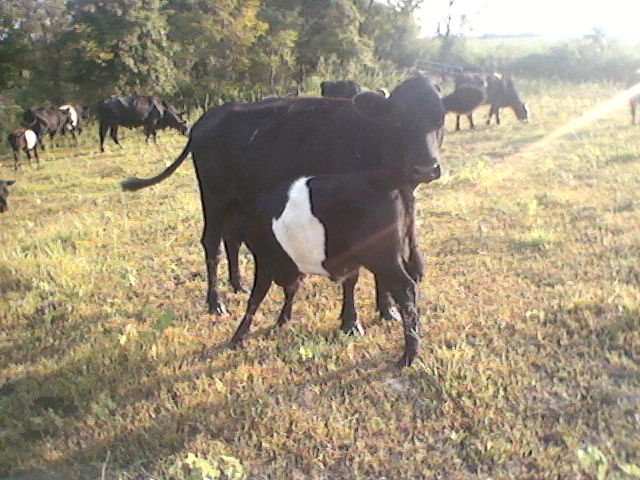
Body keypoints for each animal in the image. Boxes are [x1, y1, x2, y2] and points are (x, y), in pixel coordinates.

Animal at [122, 74, 448, 316]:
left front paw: (386, 310)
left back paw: (238, 284)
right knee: (211, 243)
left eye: (440, 119)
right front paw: (353, 321)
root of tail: (210, 117)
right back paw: (216, 303)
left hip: (237, 200)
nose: (424, 167)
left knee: (231, 238)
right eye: (398, 120)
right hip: (213, 196)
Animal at [230, 170, 424, 368]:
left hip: (382, 257)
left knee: (406, 290)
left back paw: (407, 356)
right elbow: (291, 290)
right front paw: (282, 321)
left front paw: (238, 337)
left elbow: (256, 298)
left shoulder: (265, 260)